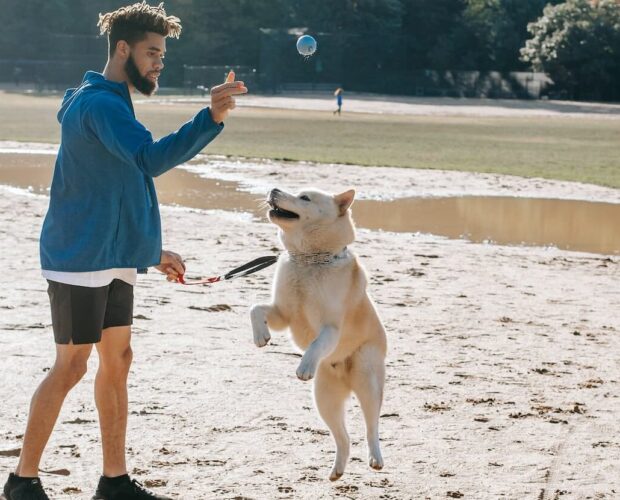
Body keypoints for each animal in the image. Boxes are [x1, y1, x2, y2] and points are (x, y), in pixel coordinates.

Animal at [248, 188, 386, 480]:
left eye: (304, 197)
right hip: (325, 400)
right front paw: (260, 337)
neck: (308, 261)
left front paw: (305, 366)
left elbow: (317, 342)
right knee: (344, 438)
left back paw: (375, 458)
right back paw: (337, 470)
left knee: (371, 427)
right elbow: (255, 308)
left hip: (367, 382)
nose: (273, 189)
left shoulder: (331, 328)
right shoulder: (282, 315)